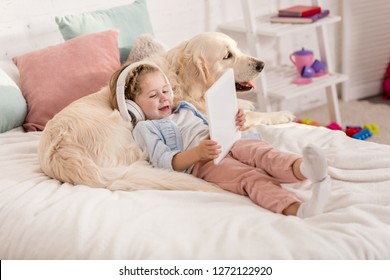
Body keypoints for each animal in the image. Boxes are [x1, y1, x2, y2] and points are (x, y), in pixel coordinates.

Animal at [39, 31, 294, 191]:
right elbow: (252, 116)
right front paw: (280, 114)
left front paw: (246, 105)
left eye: (238, 49)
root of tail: (59, 155)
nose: (261, 64)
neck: (180, 80)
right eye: (227, 56)